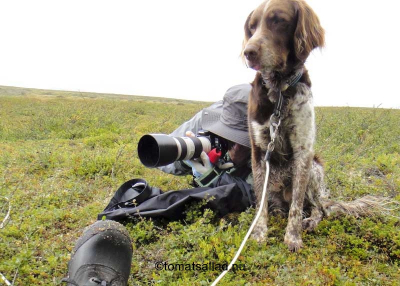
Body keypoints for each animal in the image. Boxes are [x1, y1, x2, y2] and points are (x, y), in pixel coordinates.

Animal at [244, 0, 324, 250]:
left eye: (278, 20)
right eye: (252, 27)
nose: (248, 52)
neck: (279, 91)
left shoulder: (304, 149)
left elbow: (297, 206)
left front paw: (293, 237)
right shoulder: (259, 150)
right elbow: (260, 201)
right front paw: (259, 232)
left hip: (315, 169)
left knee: (318, 208)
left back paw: (310, 221)